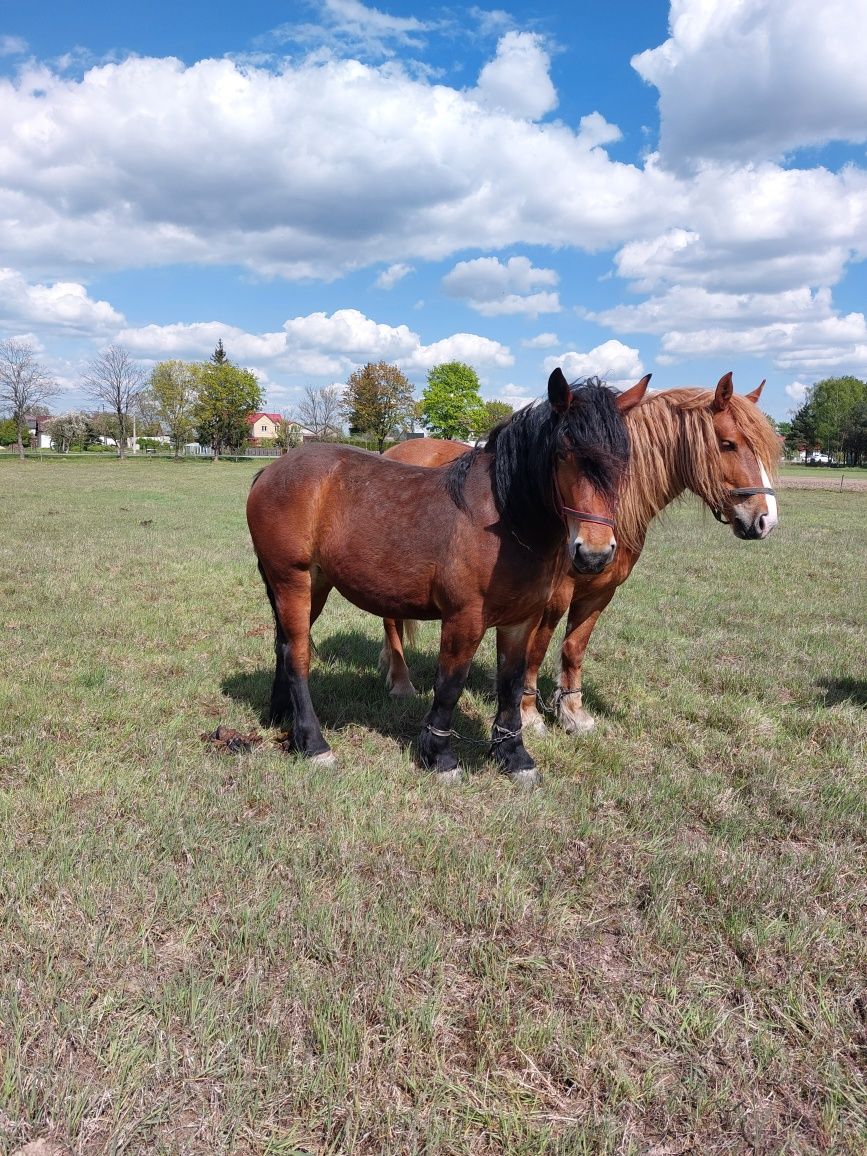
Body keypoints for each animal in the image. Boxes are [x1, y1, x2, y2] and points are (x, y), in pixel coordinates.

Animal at [247, 369, 647, 786]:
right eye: (563, 454)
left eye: (625, 458)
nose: (595, 554)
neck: (505, 521)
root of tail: (271, 471)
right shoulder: (464, 618)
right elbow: (451, 683)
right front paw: (439, 756)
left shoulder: (521, 621)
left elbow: (510, 684)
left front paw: (514, 756)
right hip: (292, 581)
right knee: (297, 655)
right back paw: (313, 744)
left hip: (315, 585)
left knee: (283, 646)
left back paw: (284, 718)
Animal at [379, 369, 781, 730]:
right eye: (728, 443)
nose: (764, 519)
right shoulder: (553, 596)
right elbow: (535, 652)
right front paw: (529, 714)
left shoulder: (600, 593)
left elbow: (574, 648)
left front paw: (573, 713)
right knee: (390, 620)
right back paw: (400, 682)